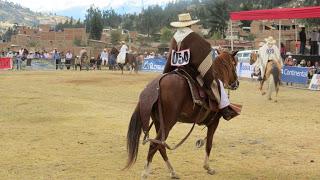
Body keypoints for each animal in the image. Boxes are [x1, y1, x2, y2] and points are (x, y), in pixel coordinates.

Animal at [124, 50, 239, 179]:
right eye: (234, 64)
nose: (236, 83)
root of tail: (156, 86)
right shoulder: (214, 122)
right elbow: (209, 144)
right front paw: (208, 167)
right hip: (168, 122)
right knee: (154, 145)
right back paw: (145, 173)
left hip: (159, 122)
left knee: (161, 145)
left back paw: (173, 172)